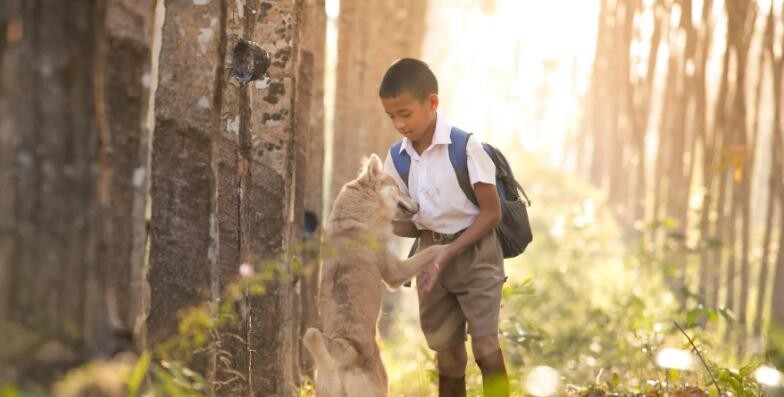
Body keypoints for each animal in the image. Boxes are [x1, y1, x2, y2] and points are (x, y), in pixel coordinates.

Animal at [304, 153, 450, 394]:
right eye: (399, 188)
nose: (419, 205)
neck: (355, 216)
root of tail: (345, 351)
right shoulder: (396, 272)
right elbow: (431, 252)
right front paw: (451, 245)